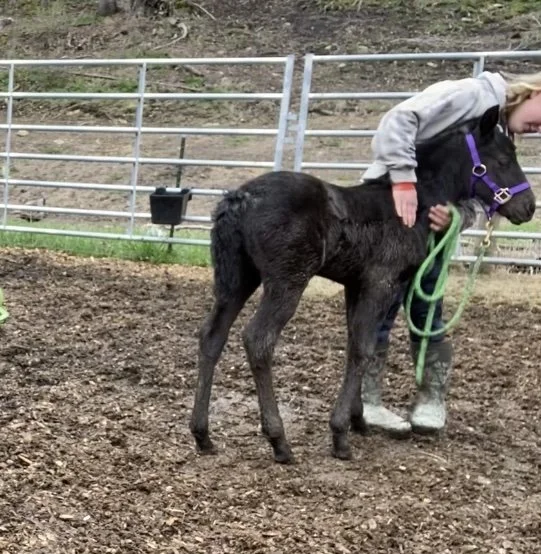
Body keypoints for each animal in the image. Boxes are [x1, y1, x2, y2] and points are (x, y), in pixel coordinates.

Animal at [190, 105, 536, 463]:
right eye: (503, 159)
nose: (528, 207)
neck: (413, 206)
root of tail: (239, 199)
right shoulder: (381, 283)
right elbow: (364, 347)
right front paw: (340, 434)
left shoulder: (354, 285)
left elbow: (355, 342)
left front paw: (358, 419)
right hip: (286, 281)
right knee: (259, 340)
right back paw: (279, 440)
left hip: (236, 279)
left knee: (212, 336)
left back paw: (203, 434)